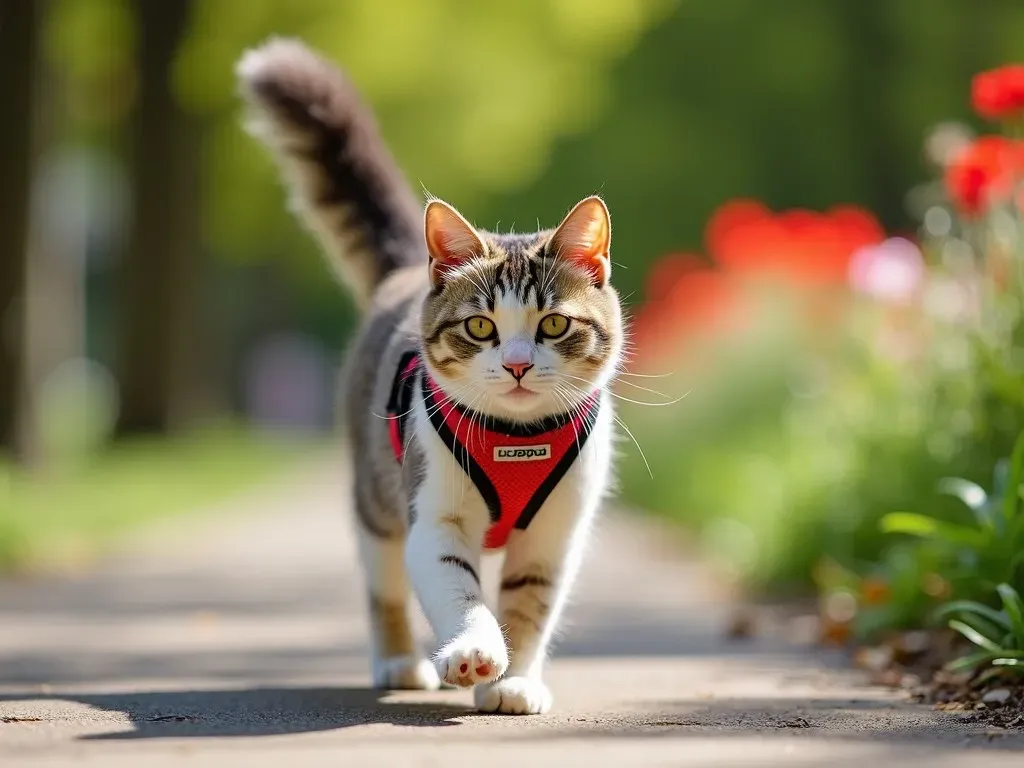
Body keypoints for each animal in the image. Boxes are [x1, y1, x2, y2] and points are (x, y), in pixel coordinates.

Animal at [237, 40, 622, 716]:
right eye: (480, 327)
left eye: (552, 324)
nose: (517, 363)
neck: (516, 438)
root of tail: (404, 272)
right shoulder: (432, 510)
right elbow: (459, 591)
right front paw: (473, 654)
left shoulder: (556, 533)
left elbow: (530, 606)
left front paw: (514, 681)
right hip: (376, 496)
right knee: (385, 586)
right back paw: (399, 662)